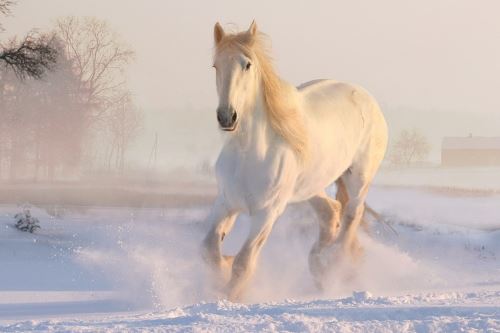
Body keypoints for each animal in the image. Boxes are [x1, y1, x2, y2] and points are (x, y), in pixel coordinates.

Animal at [201, 20, 388, 300]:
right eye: (216, 65)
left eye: (247, 64)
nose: (227, 117)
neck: (249, 153)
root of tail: (366, 97)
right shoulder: (226, 203)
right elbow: (210, 249)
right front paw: (222, 273)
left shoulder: (267, 213)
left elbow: (244, 262)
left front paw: (229, 295)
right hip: (311, 186)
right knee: (331, 212)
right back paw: (319, 266)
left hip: (359, 178)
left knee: (352, 215)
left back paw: (335, 265)